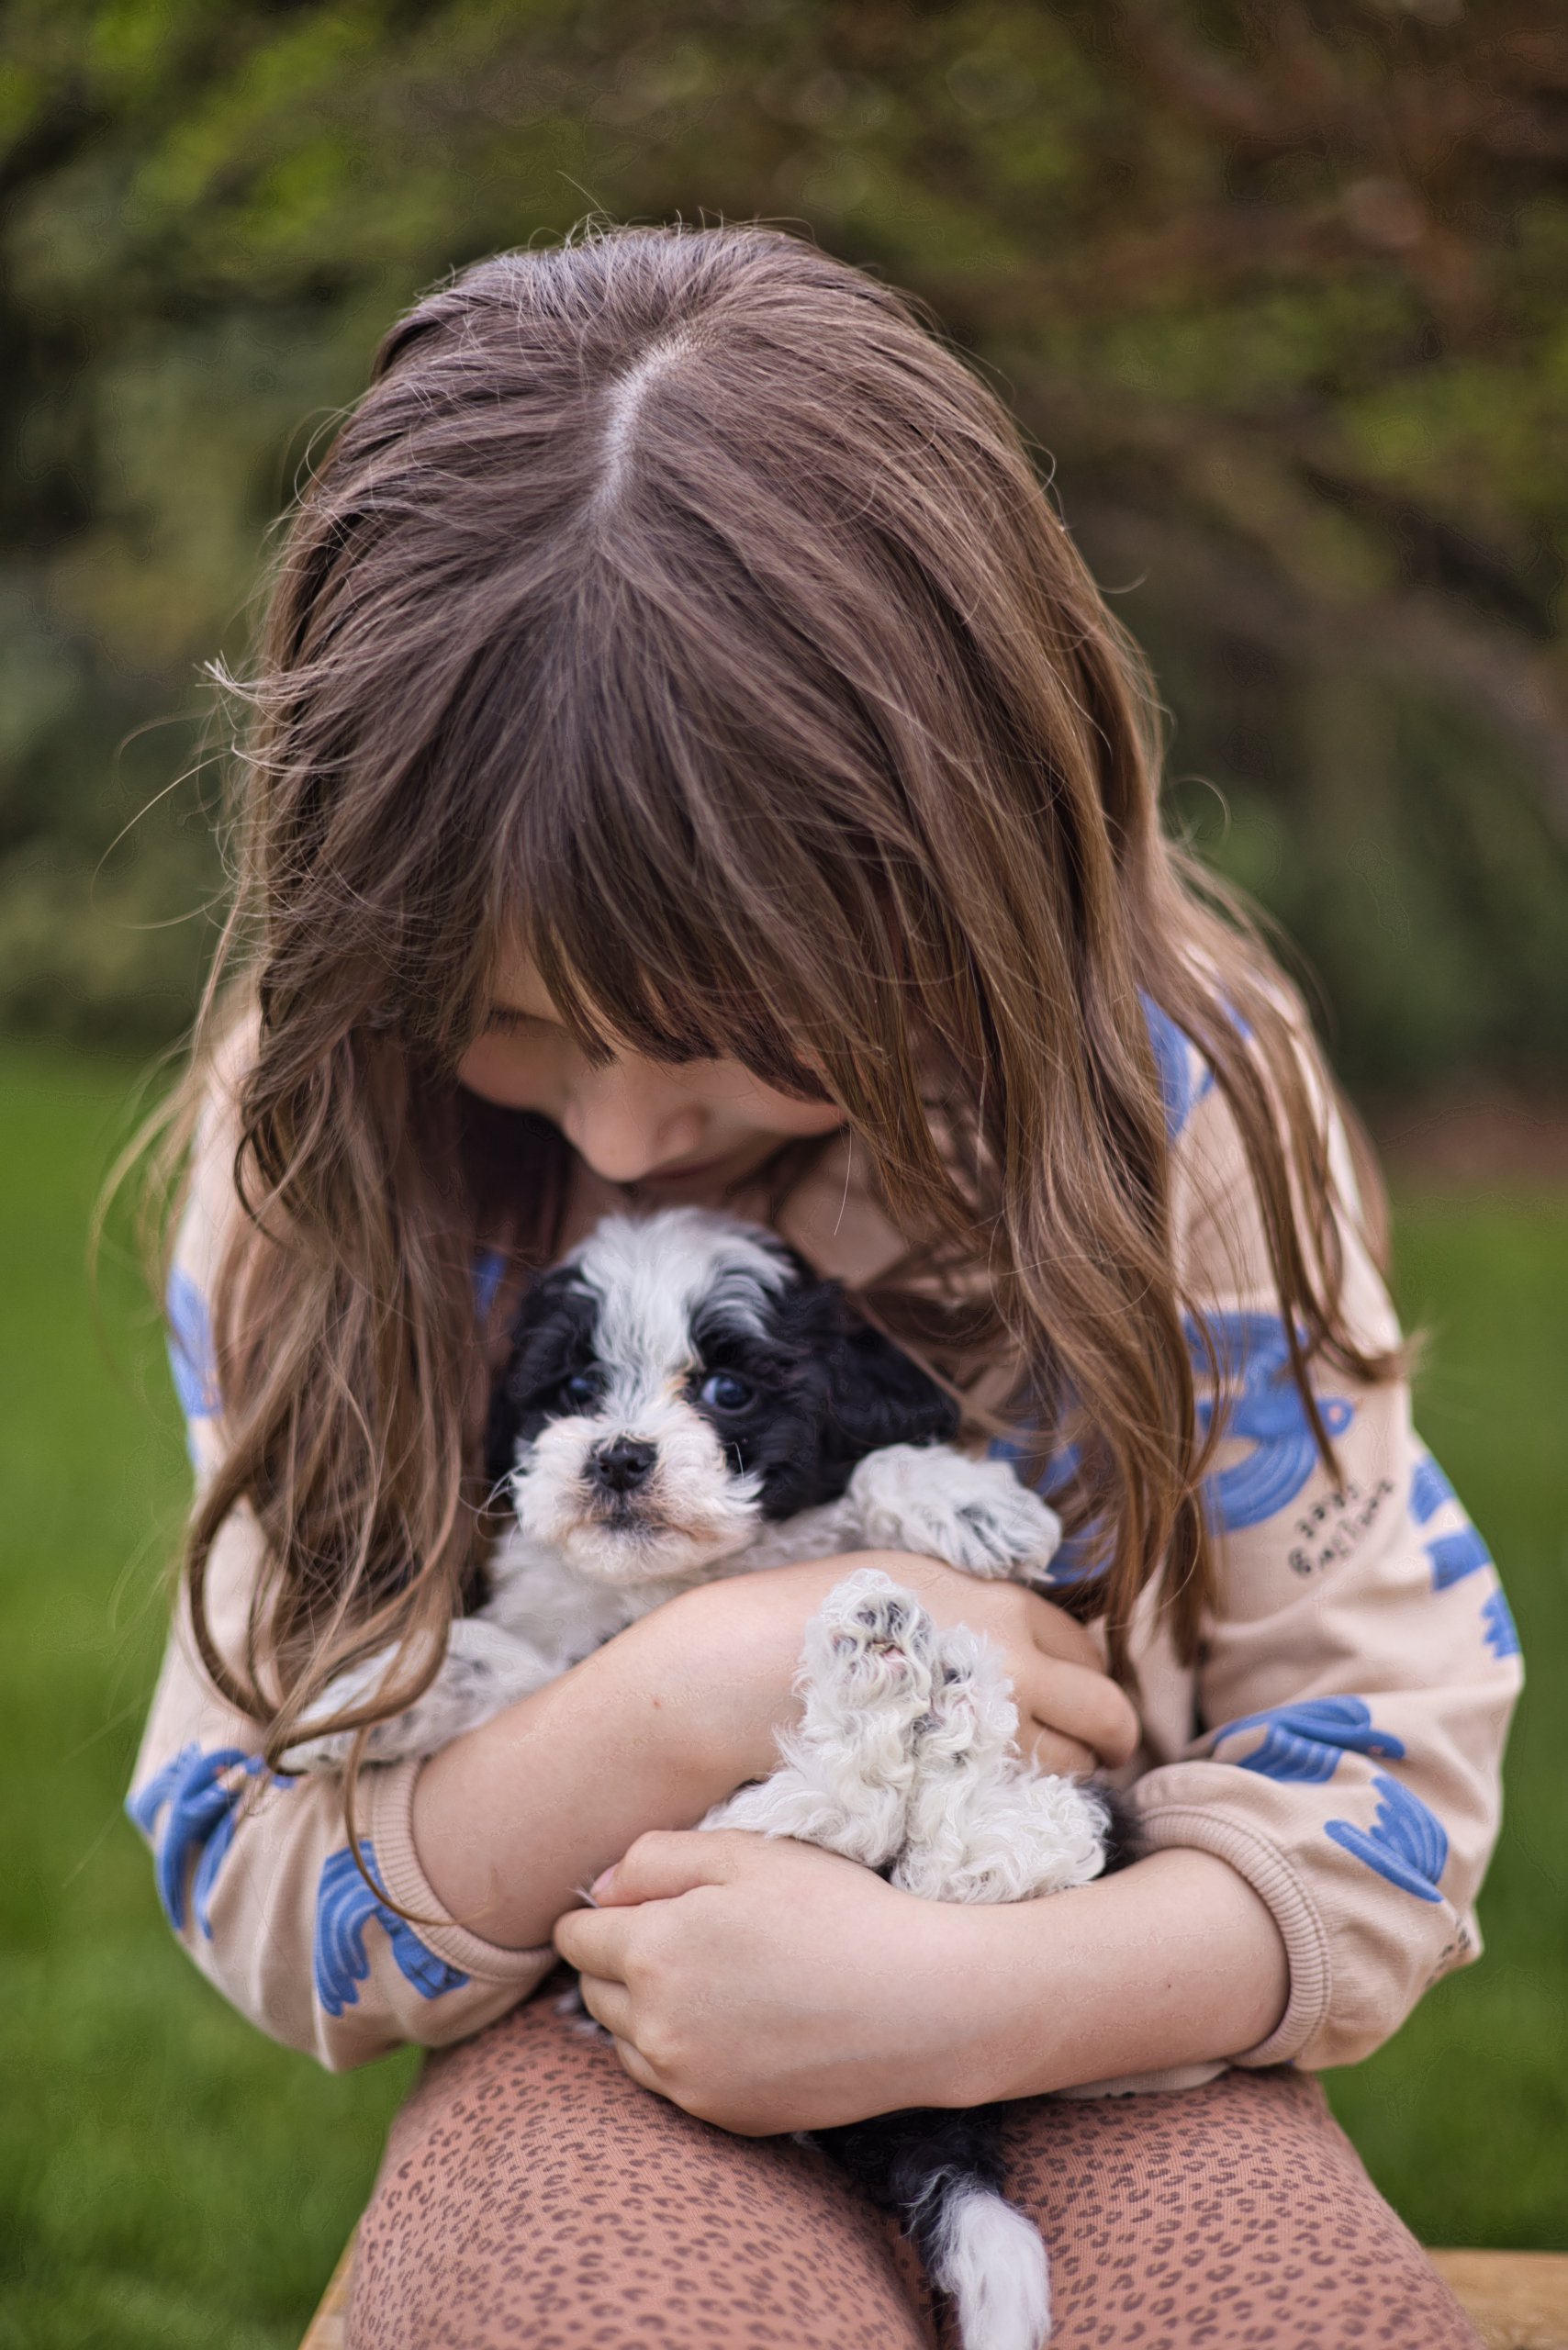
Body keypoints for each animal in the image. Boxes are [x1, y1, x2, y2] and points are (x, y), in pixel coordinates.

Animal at [294, 1212, 1124, 2350]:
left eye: (728, 1390)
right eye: (576, 1384)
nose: (618, 1453)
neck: (672, 1582)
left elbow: (875, 1468)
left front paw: (962, 1499)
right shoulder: (562, 1649)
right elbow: (499, 1662)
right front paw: (362, 1690)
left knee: (929, 1843)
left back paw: (916, 1686)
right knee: (870, 1831)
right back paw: (902, 1685)